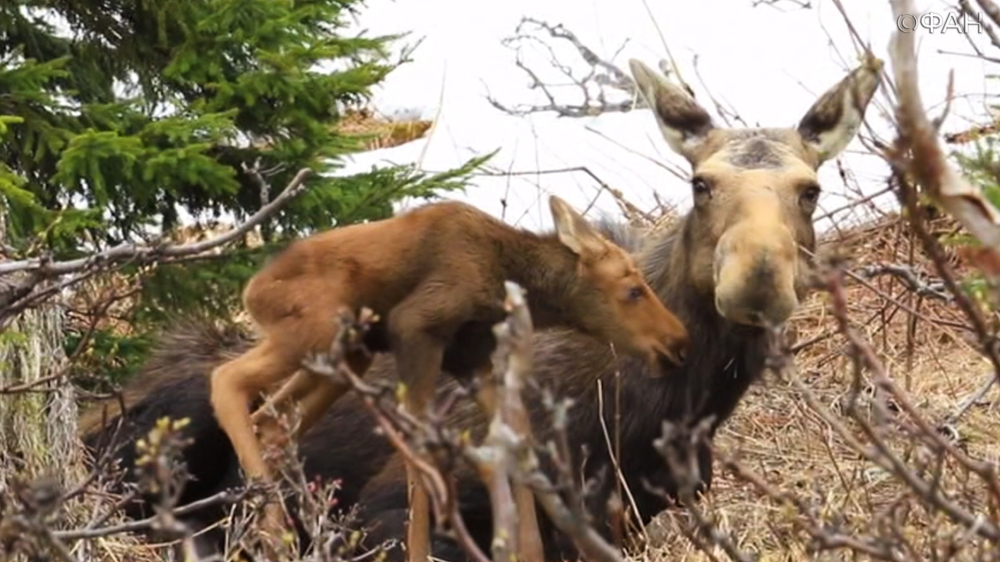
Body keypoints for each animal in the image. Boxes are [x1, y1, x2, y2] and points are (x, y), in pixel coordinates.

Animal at [78, 54, 880, 556]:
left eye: (810, 189)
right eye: (701, 183)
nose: (756, 279)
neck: (665, 409)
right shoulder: (386, 506)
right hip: (166, 433)